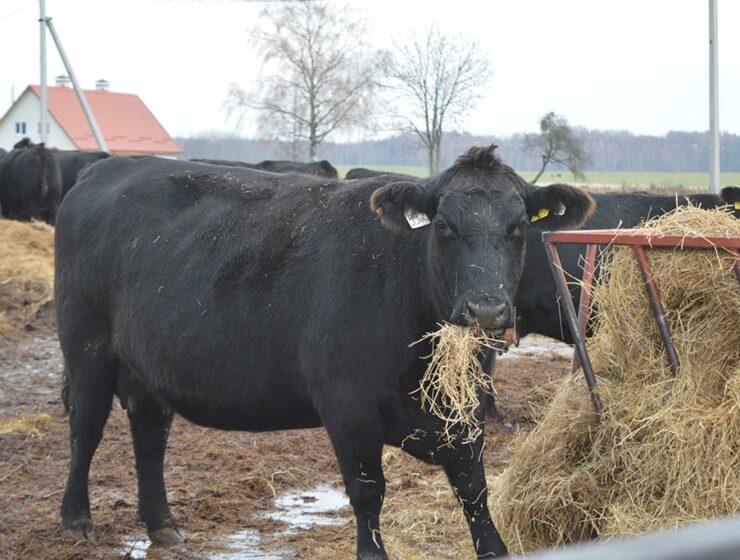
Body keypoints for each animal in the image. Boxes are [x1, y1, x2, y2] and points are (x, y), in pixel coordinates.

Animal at [55, 147, 592, 556]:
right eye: (443, 226)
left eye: (518, 226)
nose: (486, 308)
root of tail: (108, 168)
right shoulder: (349, 410)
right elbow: (368, 495)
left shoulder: (463, 411)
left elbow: (474, 492)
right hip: (87, 346)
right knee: (86, 426)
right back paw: (76, 518)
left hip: (148, 367)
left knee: (149, 433)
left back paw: (162, 523)